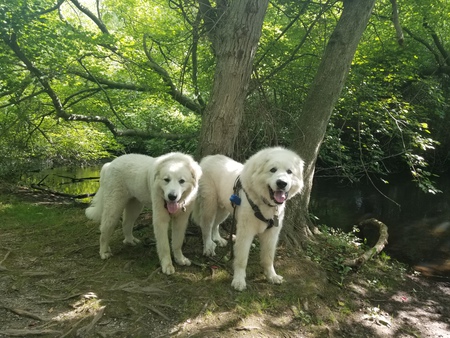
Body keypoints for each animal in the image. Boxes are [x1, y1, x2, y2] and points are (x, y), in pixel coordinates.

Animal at [192, 147, 304, 290]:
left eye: (289, 171)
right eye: (273, 169)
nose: (282, 183)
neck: (263, 202)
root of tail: (208, 158)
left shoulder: (271, 234)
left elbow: (268, 257)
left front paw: (272, 276)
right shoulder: (246, 232)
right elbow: (242, 258)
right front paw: (239, 280)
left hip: (225, 209)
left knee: (215, 224)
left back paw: (218, 239)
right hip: (209, 205)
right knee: (206, 226)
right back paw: (208, 247)